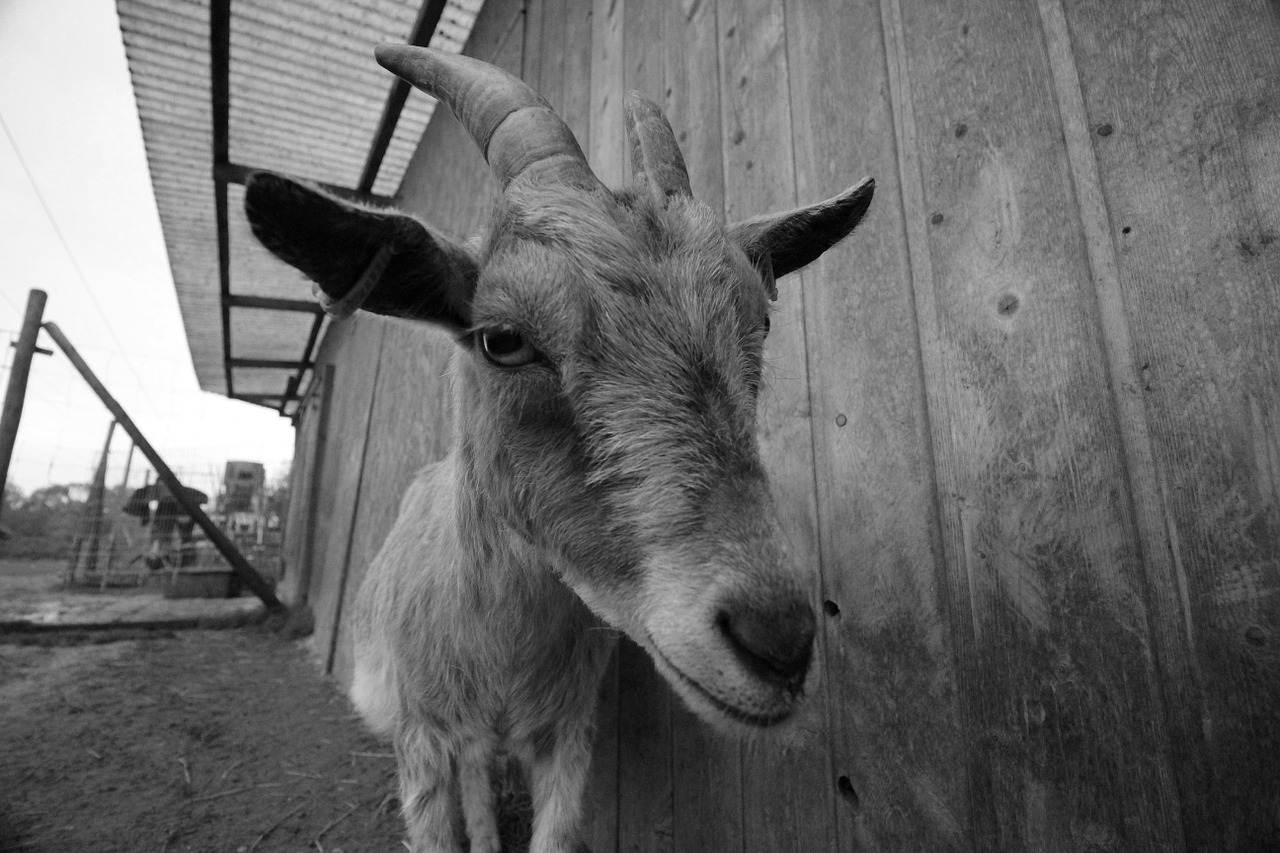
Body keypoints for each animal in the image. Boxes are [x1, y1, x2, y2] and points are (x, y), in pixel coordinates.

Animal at [244, 44, 875, 850]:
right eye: (503, 339)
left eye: (758, 320)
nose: (778, 642)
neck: (500, 651)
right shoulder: (422, 739)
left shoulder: (567, 737)